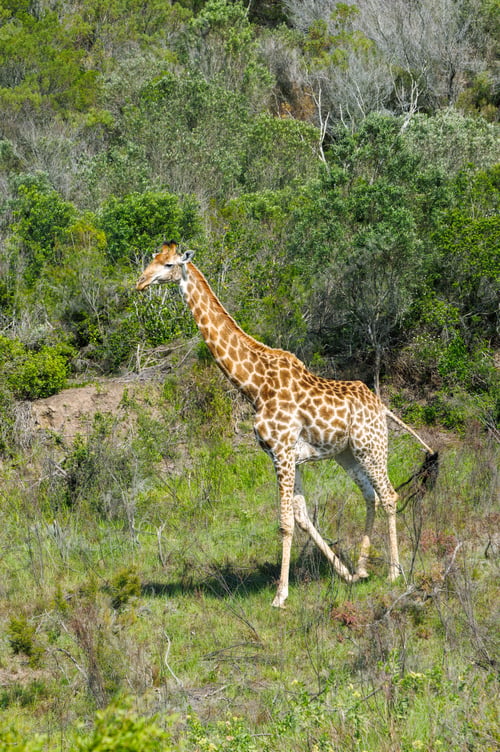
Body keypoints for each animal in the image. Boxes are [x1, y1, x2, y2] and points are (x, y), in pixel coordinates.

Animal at [136, 241, 437, 608]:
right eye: (152, 259)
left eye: (167, 265)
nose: (139, 283)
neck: (253, 386)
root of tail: (382, 407)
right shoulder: (288, 456)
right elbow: (302, 517)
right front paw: (345, 574)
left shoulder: (281, 452)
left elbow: (284, 524)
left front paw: (281, 595)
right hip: (347, 454)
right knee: (371, 496)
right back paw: (363, 568)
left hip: (372, 447)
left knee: (390, 495)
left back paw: (394, 573)